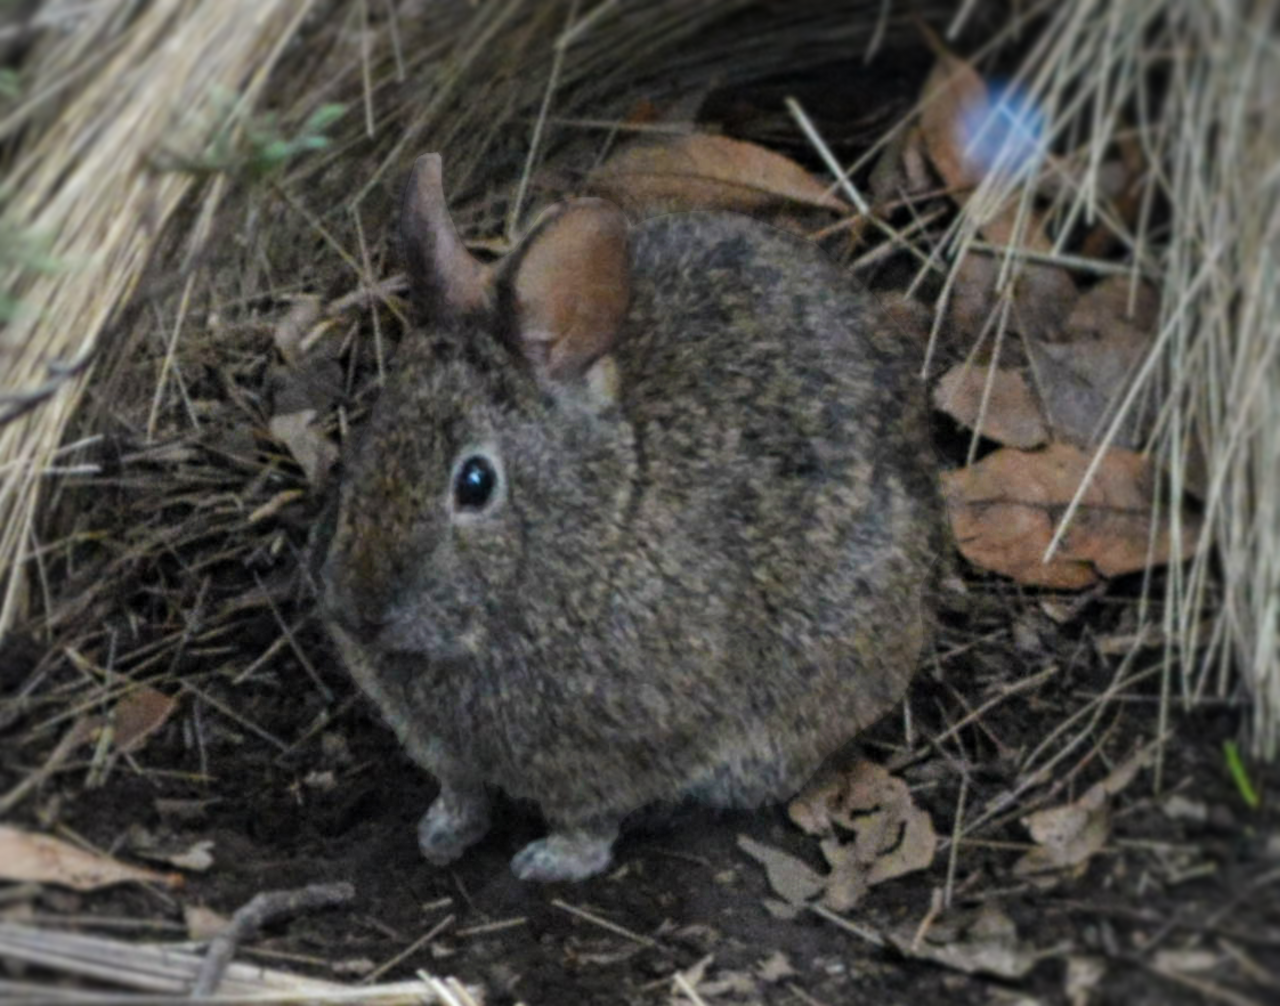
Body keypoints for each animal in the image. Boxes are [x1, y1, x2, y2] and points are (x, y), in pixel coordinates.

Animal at [322, 153, 945, 883]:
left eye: (475, 483)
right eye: (366, 442)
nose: (359, 615)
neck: (603, 525)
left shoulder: (618, 755)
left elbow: (588, 818)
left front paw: (550, 861)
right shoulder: (445, 746)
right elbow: (463, 787)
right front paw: (443, 832)